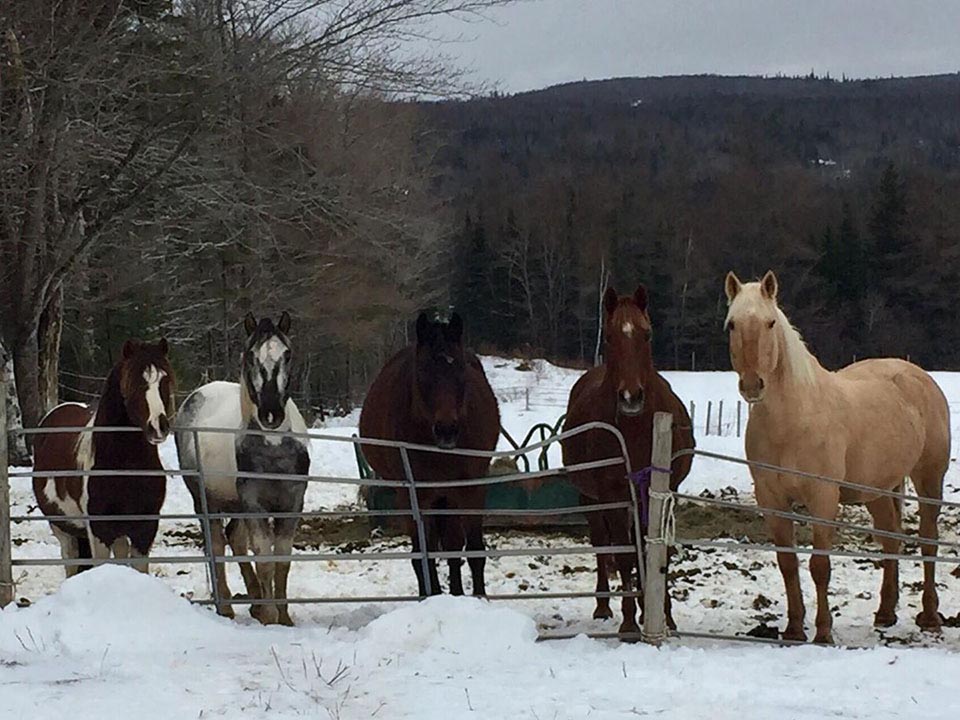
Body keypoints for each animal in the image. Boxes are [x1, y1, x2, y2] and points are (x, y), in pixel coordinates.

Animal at [33, 340, 174, 576]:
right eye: (134, 381)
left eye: (165, 379)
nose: (158, 427)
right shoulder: (100, 530)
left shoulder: (145, 528)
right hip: (63, 528)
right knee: (70, 560)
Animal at [174, 314, 306, 624]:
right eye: (250, 355)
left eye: (287, 354)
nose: (271, 415)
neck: (273, 445)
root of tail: (195, 396)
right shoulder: (253, 503)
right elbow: (263, 555)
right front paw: (270, 616)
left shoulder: (293, 502)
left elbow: (282, 558)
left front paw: (282, 616)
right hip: (206, 500)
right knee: (217, 544)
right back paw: (226, 607)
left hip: (233, 503)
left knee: (235, 539)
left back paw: (255, 601)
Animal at [356, 310, 498, 596]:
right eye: (422, 370)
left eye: (461, 369)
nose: (446, 430)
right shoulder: (415, 494)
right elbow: (424, 553)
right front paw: (432, 595)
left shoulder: (471, 488)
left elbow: (473, 550)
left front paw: (477, 597)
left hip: (446, 496)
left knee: (451, 543)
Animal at [560, 286, 692, 636]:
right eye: (608, 337)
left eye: (647, 335)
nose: (631, 397)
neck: (636, 428)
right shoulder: (612, 495)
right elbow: (623, 555)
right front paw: (631, 621)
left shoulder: (661, 491)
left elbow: (655, 552)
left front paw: (662, 614)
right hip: (591, 500)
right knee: (602, 544)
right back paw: (604, 605)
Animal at [724, 270, 948, 640]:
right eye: (731, 324)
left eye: (771, 323)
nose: (753, 386)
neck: (792, 420)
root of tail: (917, 376)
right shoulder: (771, 499)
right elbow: (788, 563)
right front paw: (794, 630)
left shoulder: (823, 496)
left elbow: (819, 565)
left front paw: (823, 633)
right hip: (877, 490)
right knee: (890, 540)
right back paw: (885, 613)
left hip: (928, 478)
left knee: (928, 541)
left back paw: (930, 617)